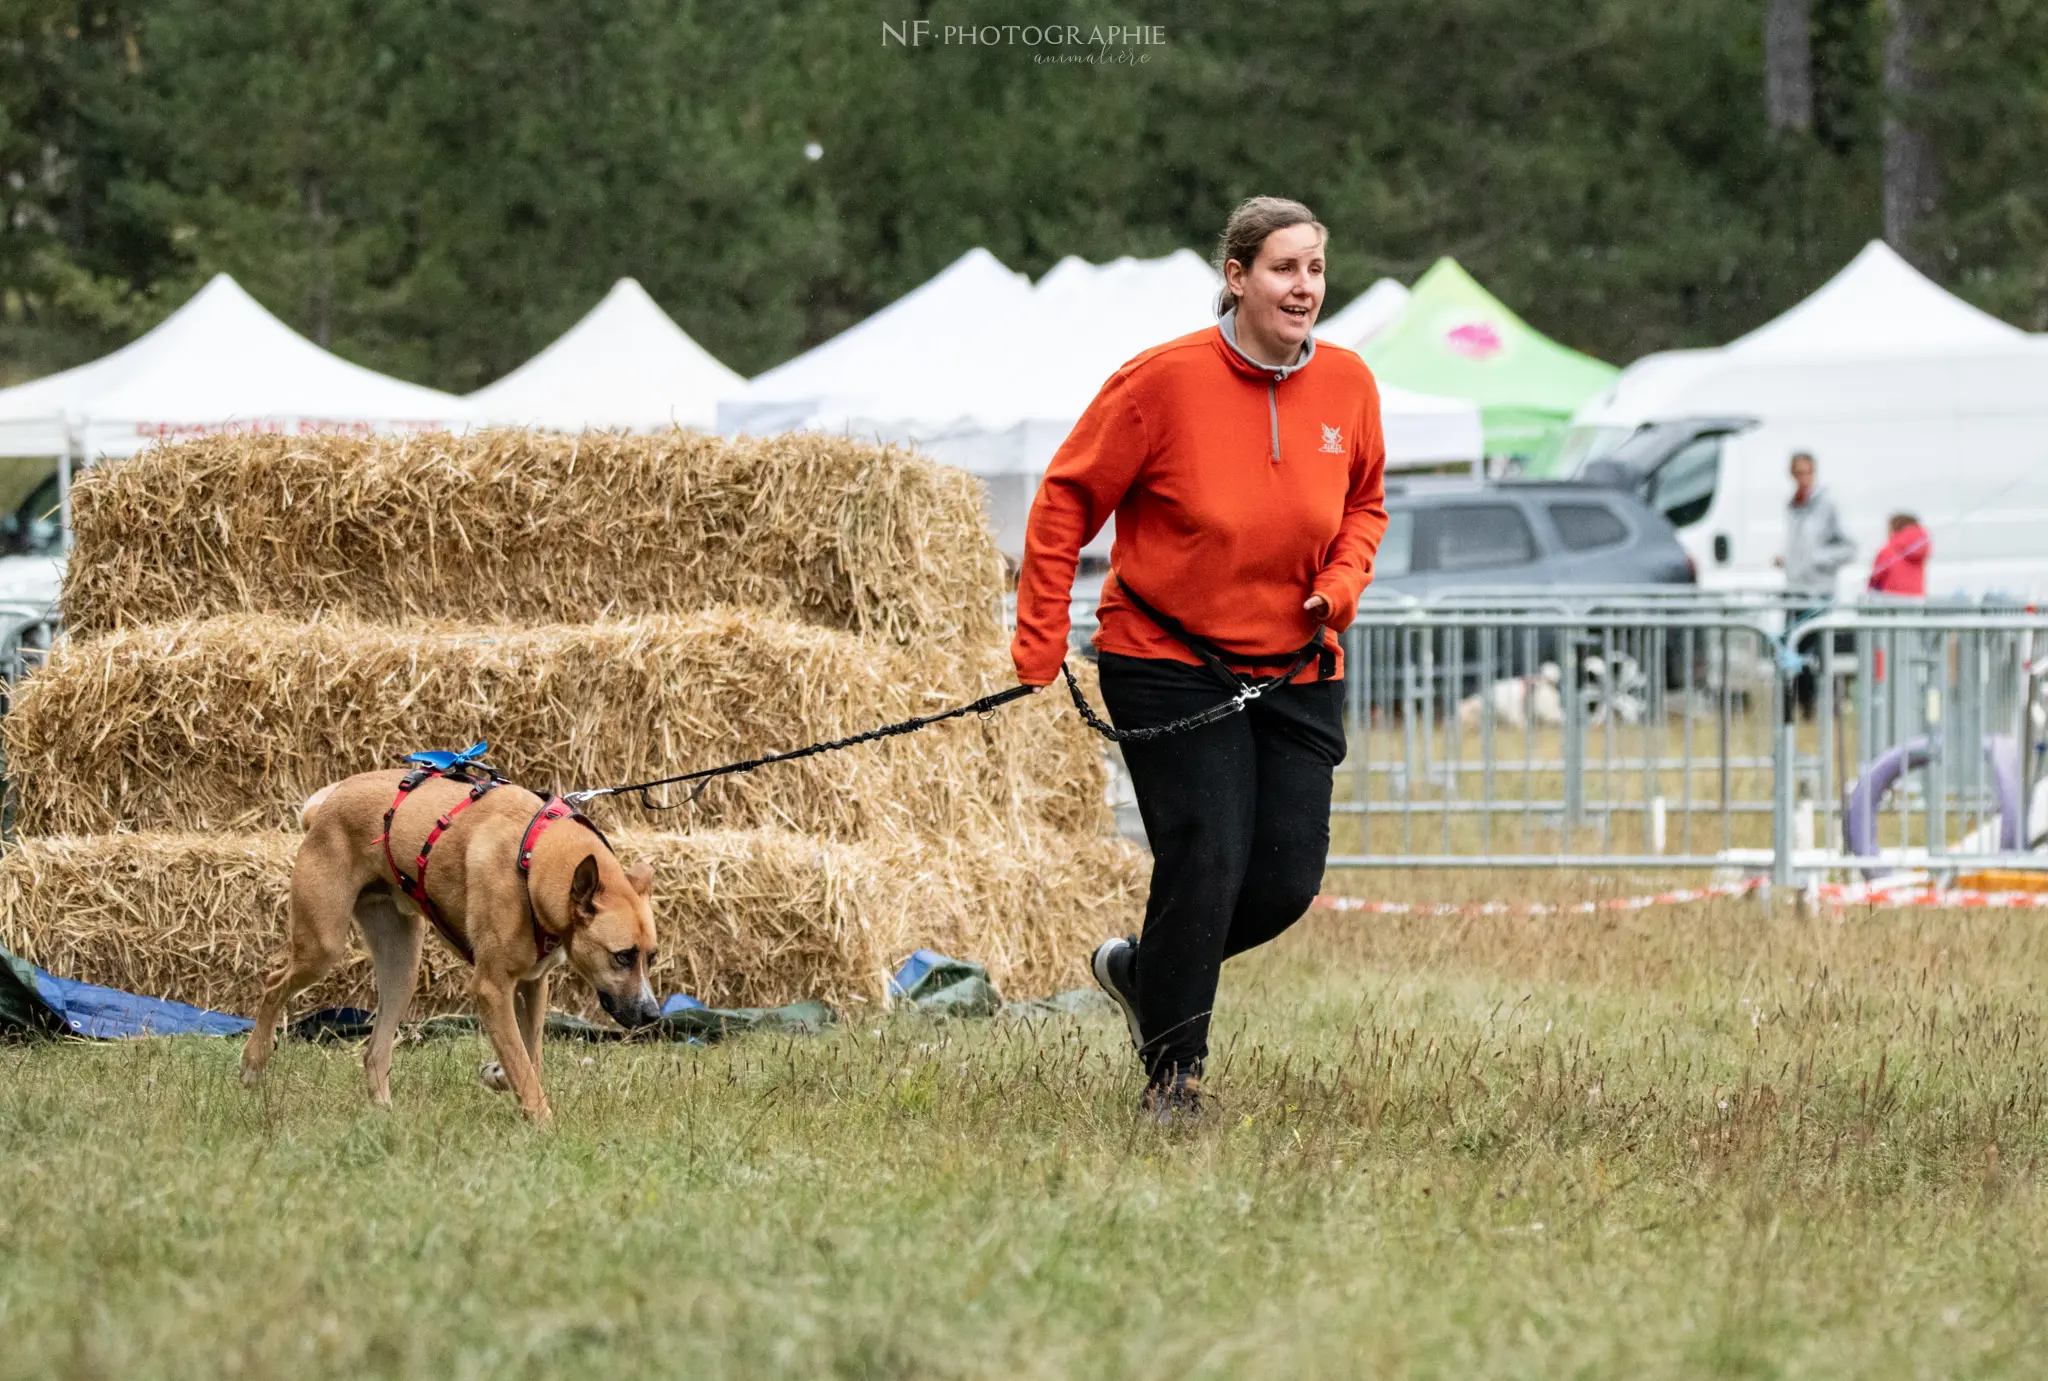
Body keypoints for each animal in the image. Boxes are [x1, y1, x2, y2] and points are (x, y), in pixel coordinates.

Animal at [238, 762, 659, 1114]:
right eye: (623, 955)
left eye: (651, 957)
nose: (653, 1016)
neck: (534, 858)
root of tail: (325, 804)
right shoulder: (491, 987)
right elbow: (524, 1067)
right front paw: (544, 1126)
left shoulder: (532, 983)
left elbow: (529, 1056)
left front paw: (500, 1076)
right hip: (322, 944)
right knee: (274, 983)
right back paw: (253, 1063)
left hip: (402, 967)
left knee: (375, 1051)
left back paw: (384, 1115)